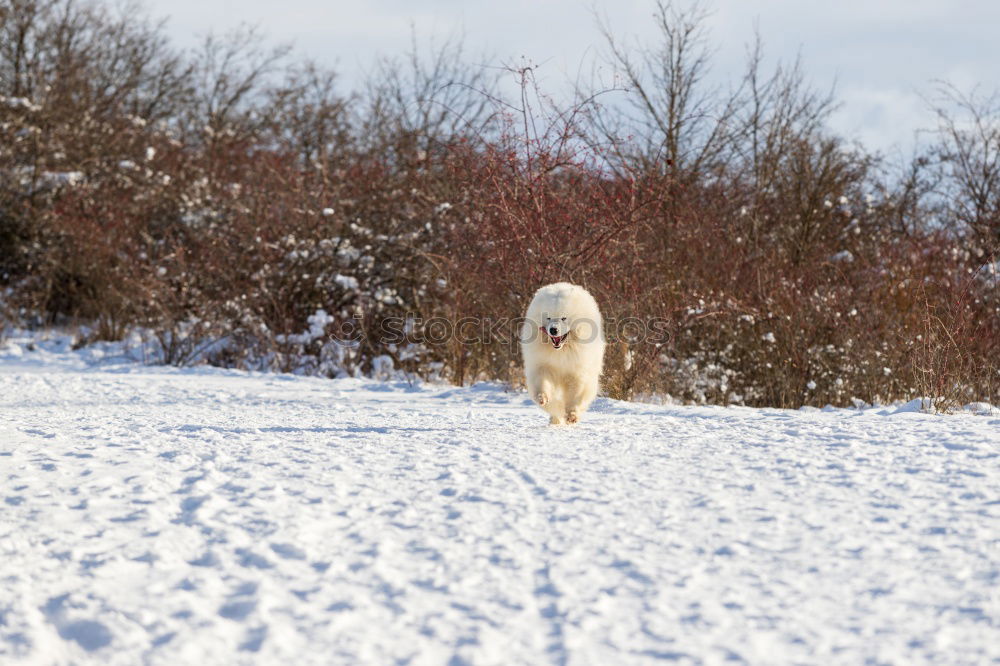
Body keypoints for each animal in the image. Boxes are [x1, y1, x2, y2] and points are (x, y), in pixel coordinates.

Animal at [520, 282, 604, 422]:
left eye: (564, 318)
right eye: (548, 317)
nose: (553, 330)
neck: (561, 351)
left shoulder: (577, 369)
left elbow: (577, 392)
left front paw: (572, 415)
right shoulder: (542, 364)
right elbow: (542, 381)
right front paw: (543, 397)